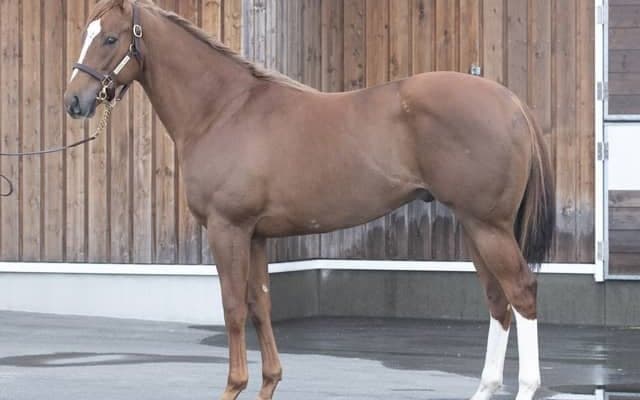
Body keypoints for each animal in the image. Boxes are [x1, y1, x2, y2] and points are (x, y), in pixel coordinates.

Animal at [63, 1, 555, 399]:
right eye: (86, 33)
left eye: (110, 38)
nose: (73, 101)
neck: (223, 110)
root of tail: (512, 103)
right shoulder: (256, 236)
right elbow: (261, 305)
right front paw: (268, 383)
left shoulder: (228, 229)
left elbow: (233, 307)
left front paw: (234, 385)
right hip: (474, 228)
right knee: (497, 301)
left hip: (488, 227)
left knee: (522, 293)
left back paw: (527, 386)